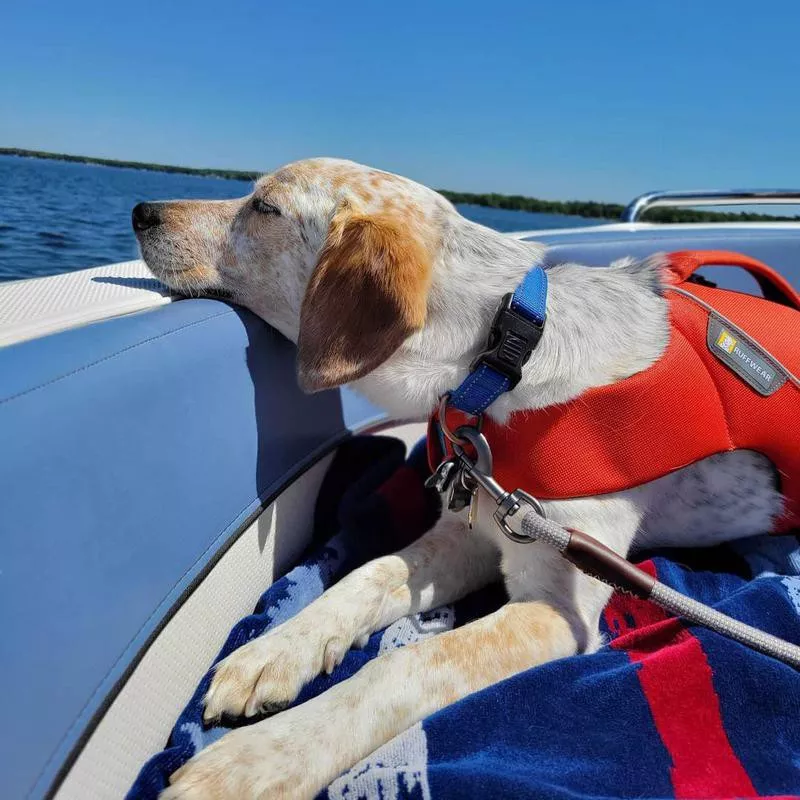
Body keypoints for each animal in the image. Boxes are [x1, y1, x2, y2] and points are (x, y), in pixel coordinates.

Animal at [134, 159, 784, 796]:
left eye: (265, 207)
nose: (142, 211)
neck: (502, 353)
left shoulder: (556, 608)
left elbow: (401, 665)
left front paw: (258, 759)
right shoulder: (470, 536)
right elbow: (366, 575)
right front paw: (275, 652)